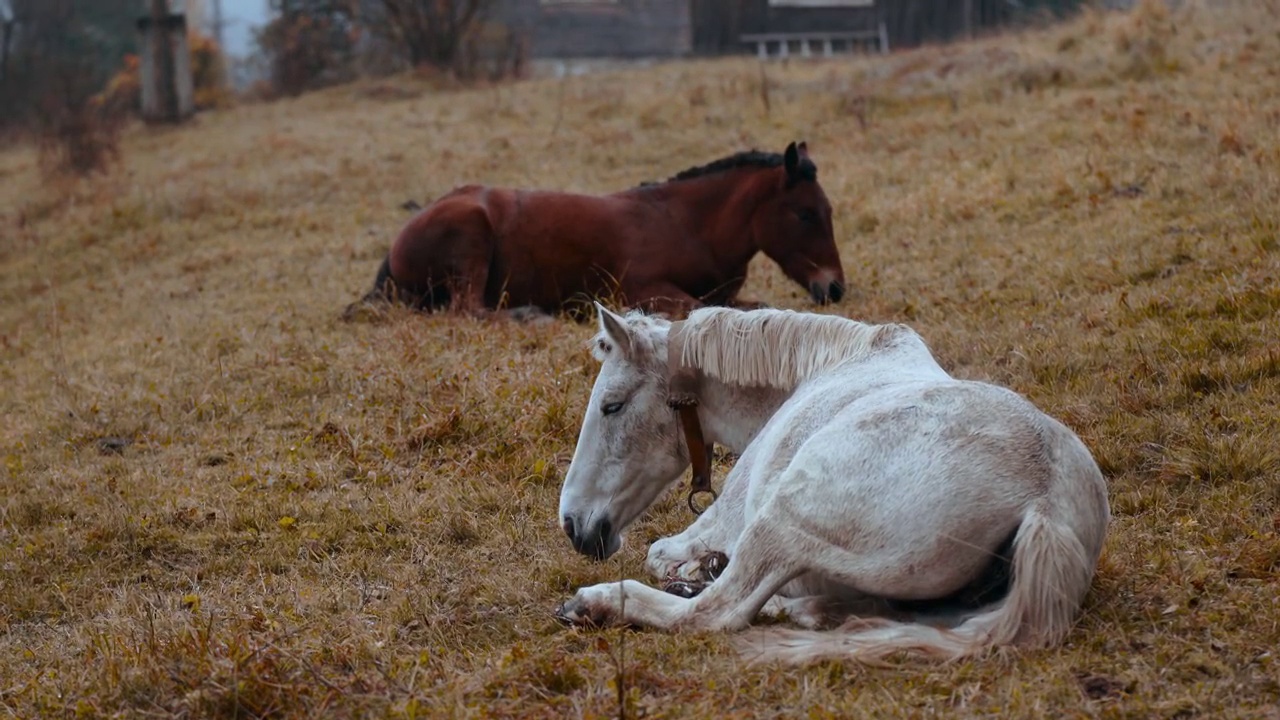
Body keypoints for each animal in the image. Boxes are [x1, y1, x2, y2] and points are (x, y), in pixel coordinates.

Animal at [345, 140, 844, 319]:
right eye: (805, 214)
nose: (835, 288)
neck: (688, 225)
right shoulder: (644, 289)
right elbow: (704, 310)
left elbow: (753, 305)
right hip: (470, 237)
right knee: (469, 309)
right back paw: (532, 314)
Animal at [555, 301, 1105, 661]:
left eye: (612, 406)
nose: (573, 524)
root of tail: (1045, 501)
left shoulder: (717, 525)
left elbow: (662, 556)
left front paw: (691, 569)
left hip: (781, 524)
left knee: (715, 613)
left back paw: (598, 603)